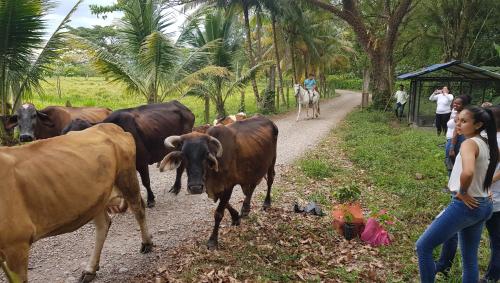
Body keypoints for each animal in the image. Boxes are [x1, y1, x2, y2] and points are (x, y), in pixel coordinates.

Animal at [0, 124, 152, 283]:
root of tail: (109, 126)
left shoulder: (16, 244)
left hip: (126, 177)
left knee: (138, 208)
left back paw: (147, 243)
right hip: (97, 199)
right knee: (103, 224)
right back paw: (90, 269)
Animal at [61, 101, 194, 207]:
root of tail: (184, 107)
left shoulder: (142, 162)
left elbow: (146, 182)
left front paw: (151, 199)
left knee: (181, 168)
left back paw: (176, 188)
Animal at [159, 114, 278, 250]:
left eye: (206, 155)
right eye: (184, 155)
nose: (195, 188)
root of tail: (267, 119)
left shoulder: (228, 185)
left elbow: (219, 213)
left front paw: (213, 240)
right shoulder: (214, 187)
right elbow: (226, 204)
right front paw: (236, 217)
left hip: (271, 161)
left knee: (270, 180)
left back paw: (266, 203)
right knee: (252, 186)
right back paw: (245, 209)